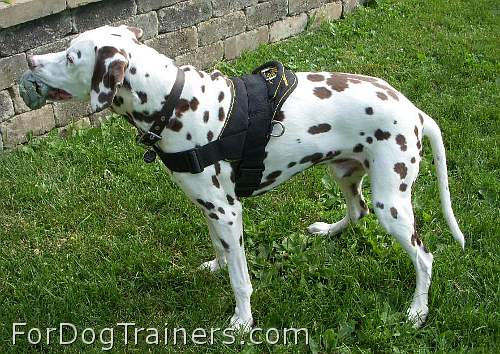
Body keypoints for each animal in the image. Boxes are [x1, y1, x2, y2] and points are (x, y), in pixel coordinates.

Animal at [26, 25, 464, 332]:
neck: (174, 102)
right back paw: (327, 231)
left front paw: (242, 322)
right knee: (356, 213)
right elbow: (219, 248)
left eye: (71, 56)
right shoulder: (210, 208)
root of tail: (415, 112)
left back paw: (417, 310)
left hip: (392, 203)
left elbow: (241, 281)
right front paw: (217, 265)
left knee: (424, 257)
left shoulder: (228, 212)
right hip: (345, 173)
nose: (30, 61)